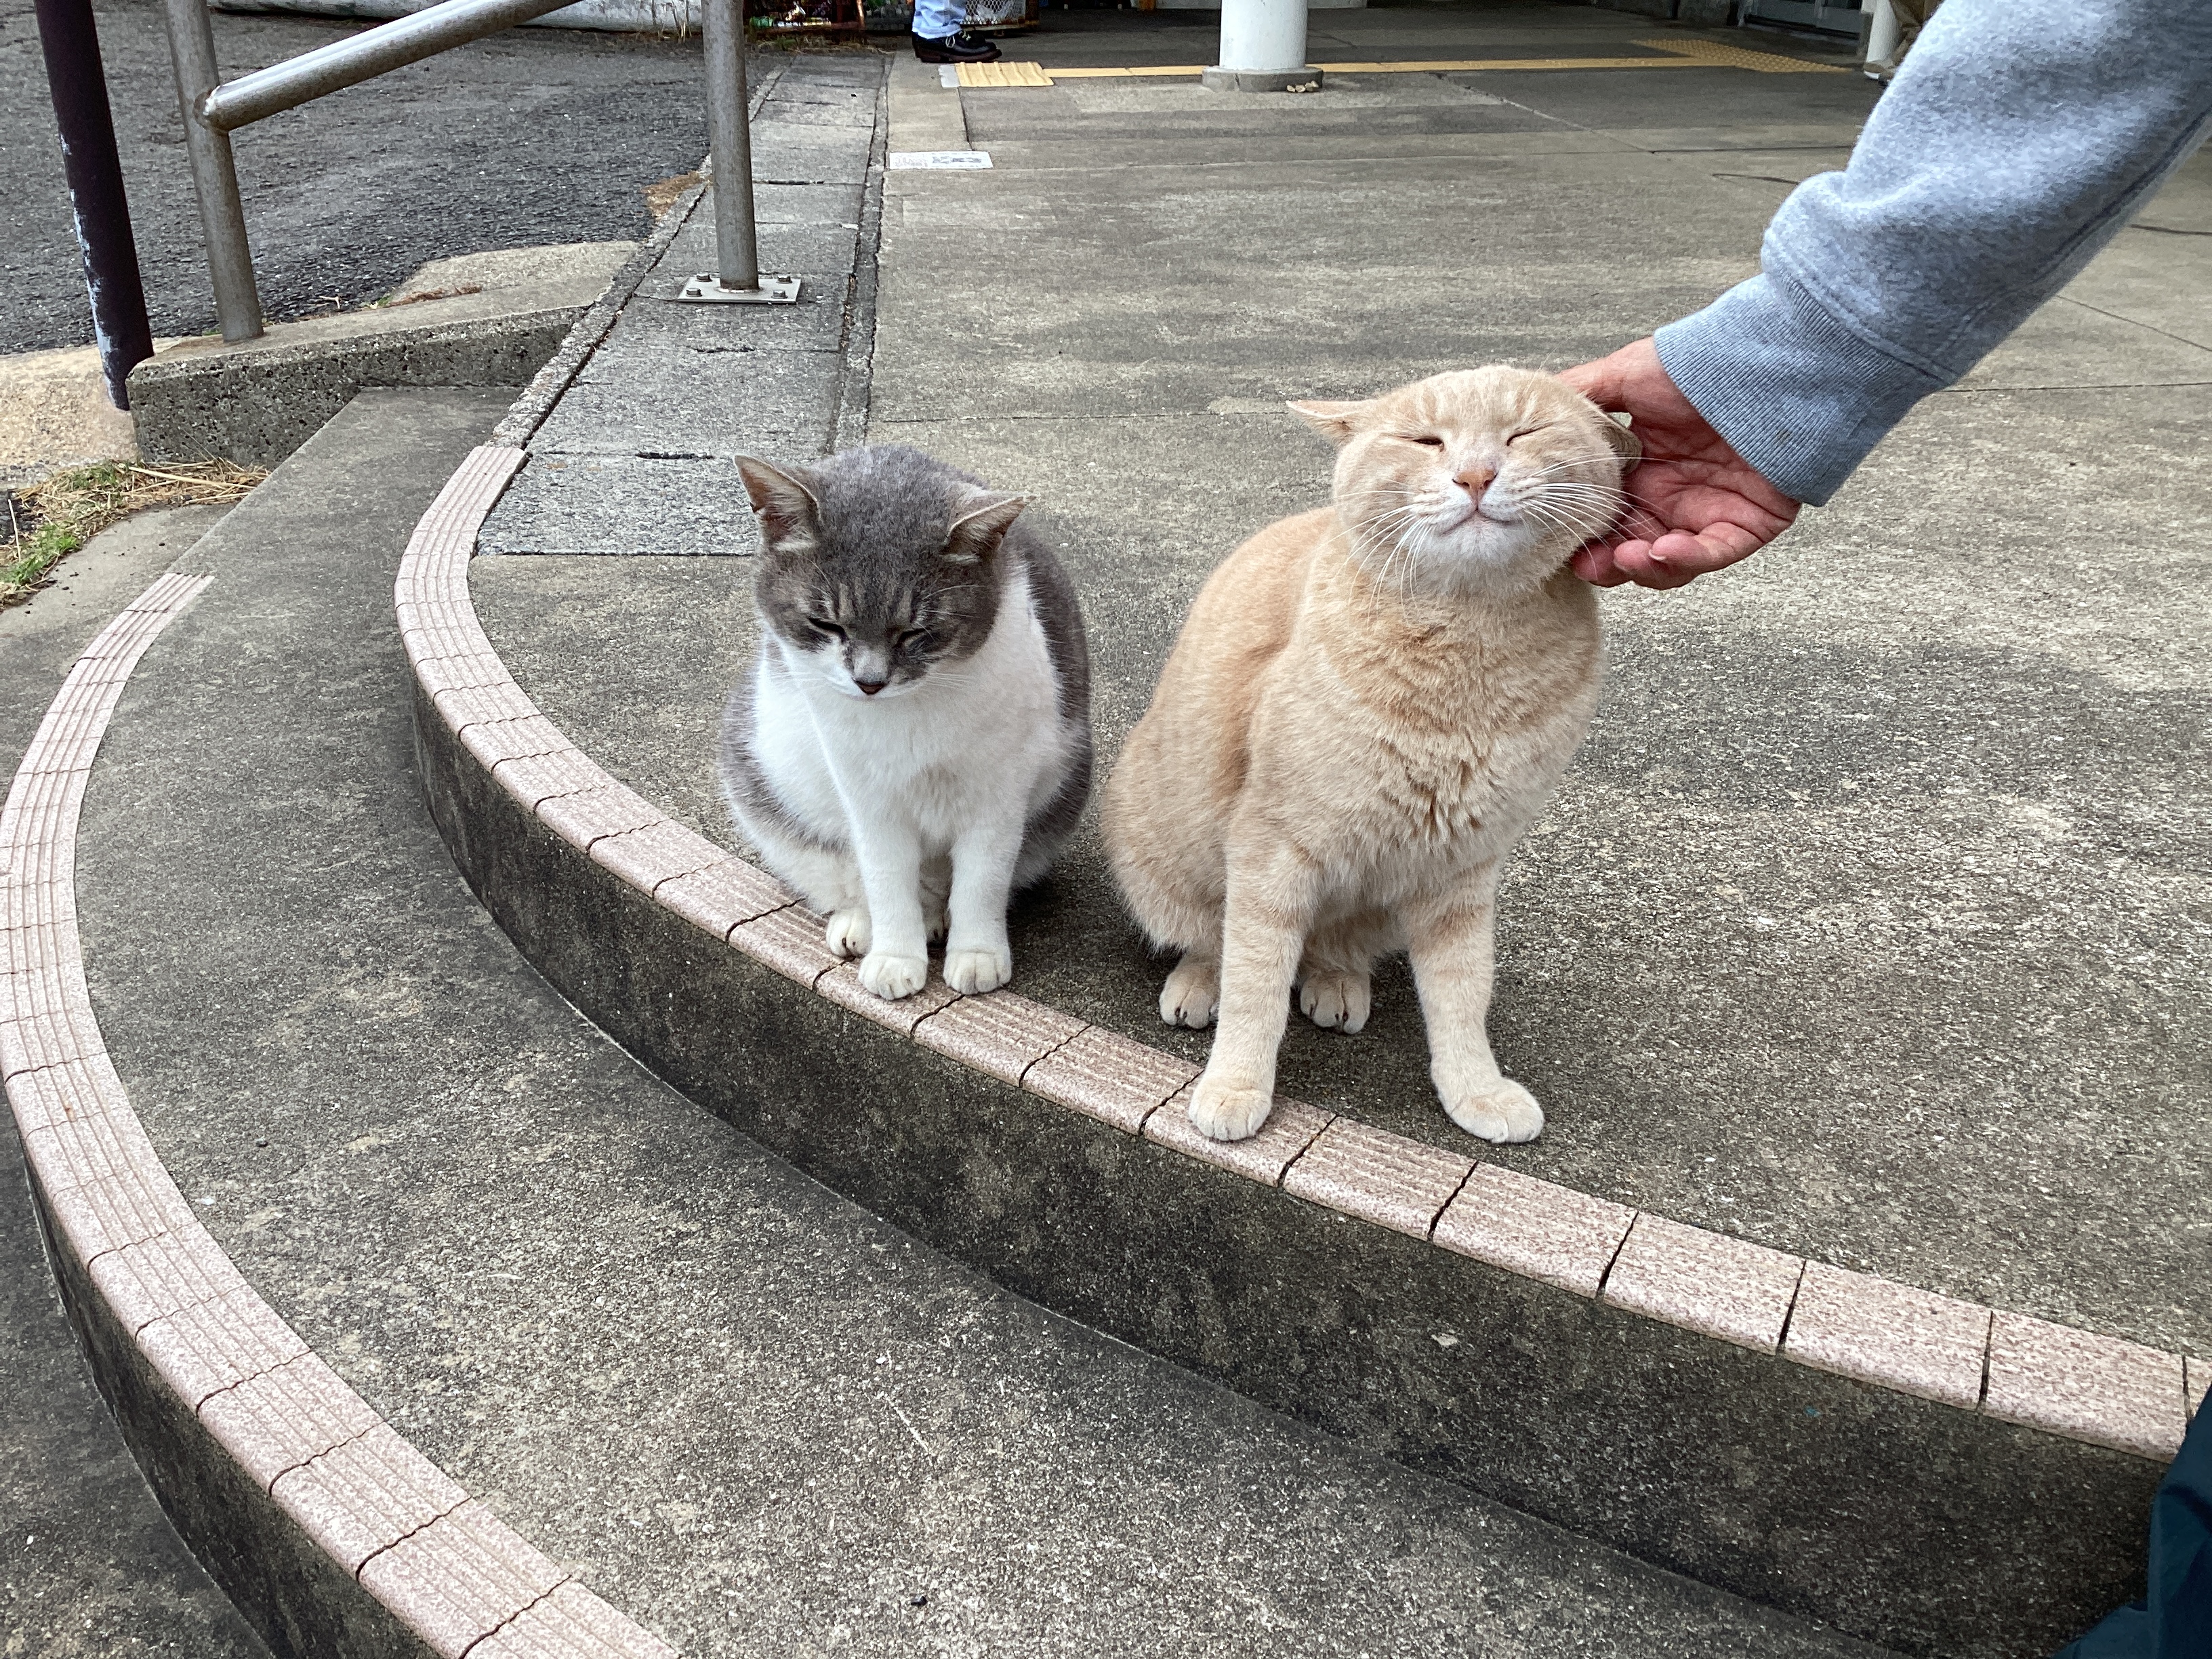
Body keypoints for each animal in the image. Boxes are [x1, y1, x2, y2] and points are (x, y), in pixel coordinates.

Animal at [719, 445, 1093, 1000]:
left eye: (916, 632)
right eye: (826, 624)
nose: (869, 682)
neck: (911, 710)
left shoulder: (997, 795)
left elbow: (982, 881)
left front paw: (976, 953)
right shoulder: (869, 796)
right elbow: (885, 877)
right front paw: (895, 957)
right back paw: (863, 925)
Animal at [1100, 366, 1636, 1144]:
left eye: (1523, 433)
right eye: (1425, 440)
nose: (1476, 475)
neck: (1465, 666)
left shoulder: (1463, 869)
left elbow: (1462, 990)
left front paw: (1475, 1089)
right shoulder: (1269, 849)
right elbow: (1255, 981)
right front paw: (1234, 1086)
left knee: (1332, 944)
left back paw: (1335, 983)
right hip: (1164, 851)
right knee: (1210, 938)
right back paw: (1200, 983)